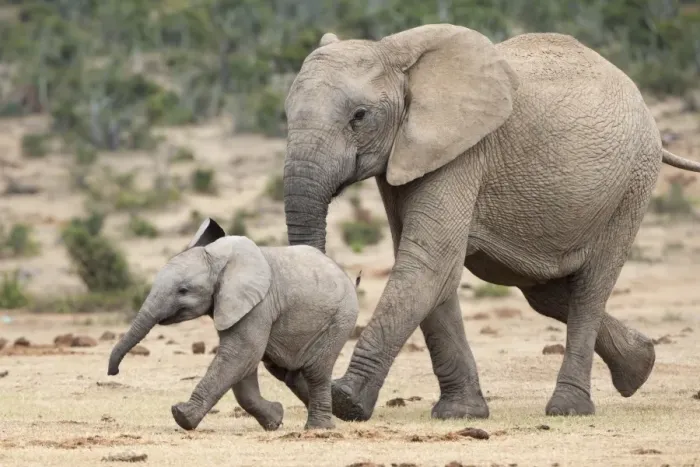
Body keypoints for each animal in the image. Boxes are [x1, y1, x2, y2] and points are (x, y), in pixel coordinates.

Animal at [107, 218, 359, 431]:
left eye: (183, 290)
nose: (113, 372)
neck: (218, 259)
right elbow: (243, 365)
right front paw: (275, 420)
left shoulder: (258, 304)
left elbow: (240, 354)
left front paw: (181, 415)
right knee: (289, 373)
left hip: (340, 318)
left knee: (315, 371)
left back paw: (319, 428)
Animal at [280, 24, 700, 421]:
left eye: (359, 116)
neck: (395, 54)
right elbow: (432, 270)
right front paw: (460, 413)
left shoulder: (463, 152)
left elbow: (429, 263)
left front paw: (345, 401)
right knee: (545, 292)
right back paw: (639, 366)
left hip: (631, 186)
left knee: (589, 289)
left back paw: (569, 408)